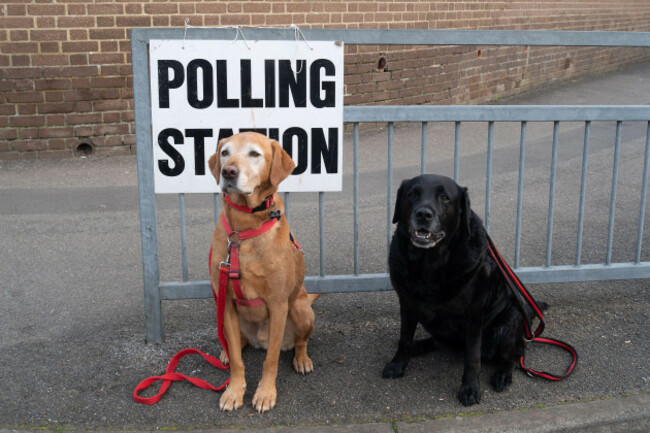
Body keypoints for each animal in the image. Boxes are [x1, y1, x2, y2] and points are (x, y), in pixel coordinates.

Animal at [382, 173, 536, 404]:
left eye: (445, 197)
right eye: (412, 194)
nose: (423, 214)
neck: (429, 264)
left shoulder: (474, 315)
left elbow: (472, 357)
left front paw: (470, 389)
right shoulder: (407, 304)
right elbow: (404, 339)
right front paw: (398, 364)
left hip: (510, 321)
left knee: (516, 354)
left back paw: (503, 374)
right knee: (438, 341)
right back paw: (418, 347)